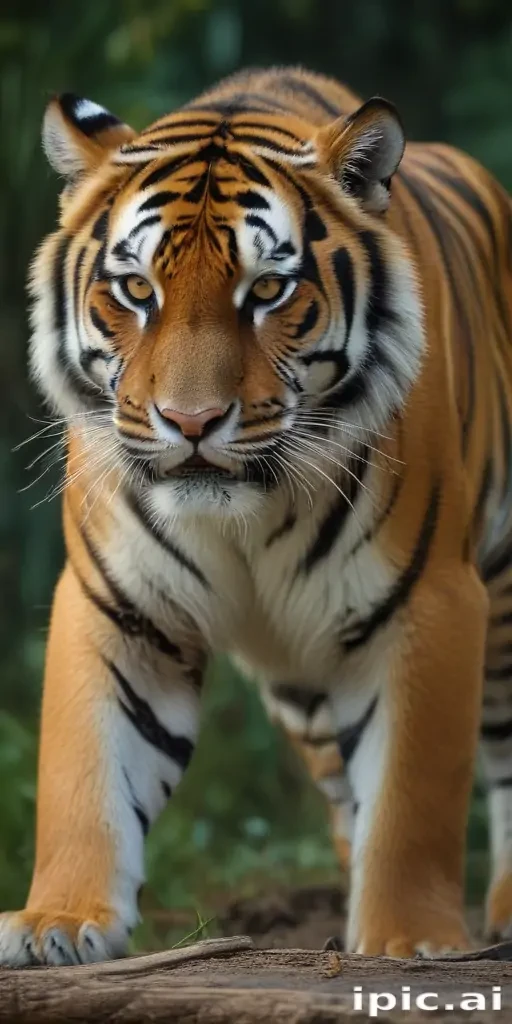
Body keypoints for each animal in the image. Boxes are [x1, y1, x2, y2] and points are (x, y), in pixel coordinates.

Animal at [1, 63, 512, 966]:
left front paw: (409, 941)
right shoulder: (116, 604)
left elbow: (413, 791)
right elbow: (85, 770)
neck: (246, 517)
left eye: (268, 289)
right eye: (136, 289)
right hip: (306, 679)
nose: (191, 421)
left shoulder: (432, 601)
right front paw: (58, 922)